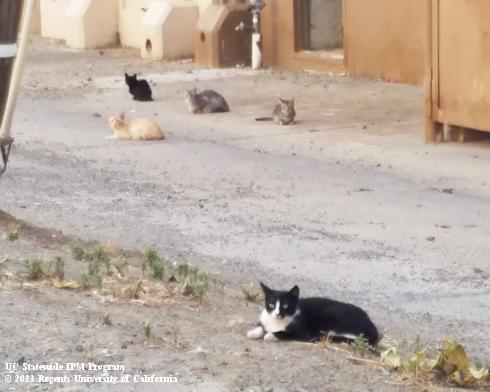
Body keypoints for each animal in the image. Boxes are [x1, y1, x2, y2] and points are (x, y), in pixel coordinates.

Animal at [247, 284, 380, 344]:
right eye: (271, 305)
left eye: (285, 306)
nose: (278, 314)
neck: (276, 322)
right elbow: (261, 326)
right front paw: (253, 333)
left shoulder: (302, 330)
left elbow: (283, 333)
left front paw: (270, 335)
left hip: (332, 313)